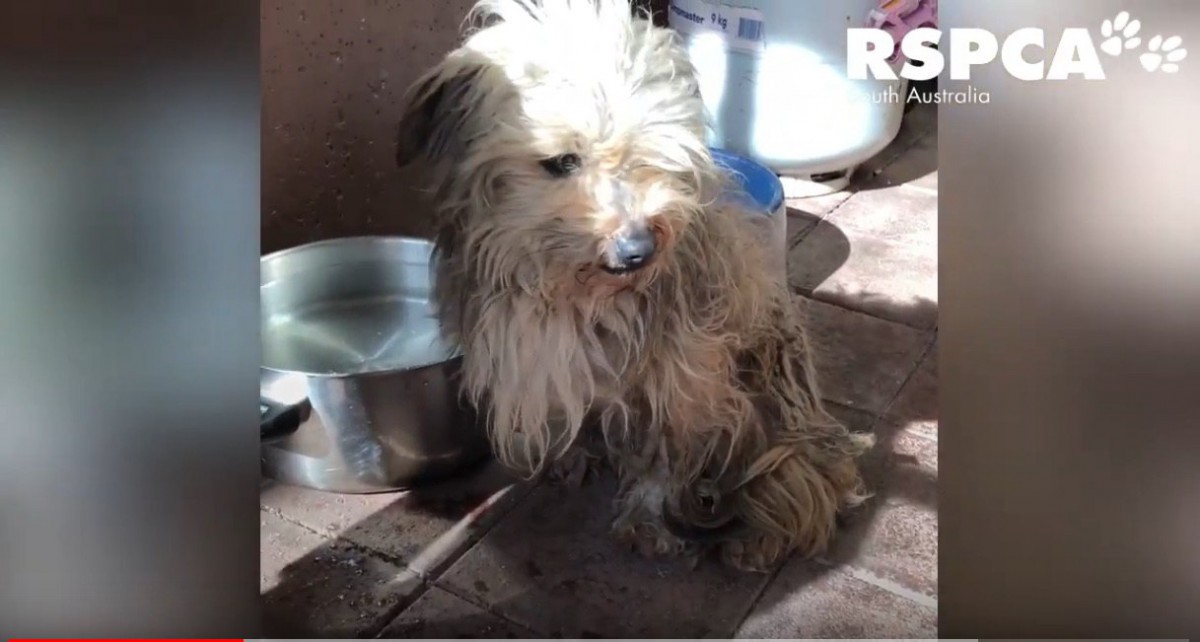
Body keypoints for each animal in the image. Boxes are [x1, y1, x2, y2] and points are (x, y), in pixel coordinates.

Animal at [396, 0, 873, 573]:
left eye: (653, 153)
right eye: (562, 161)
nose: (640, 249)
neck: (574, 294)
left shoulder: (683, 377)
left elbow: (662, 455)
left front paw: (646, 519)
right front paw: (571, 455)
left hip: (774, 399)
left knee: (803, 475)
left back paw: (758, 535)